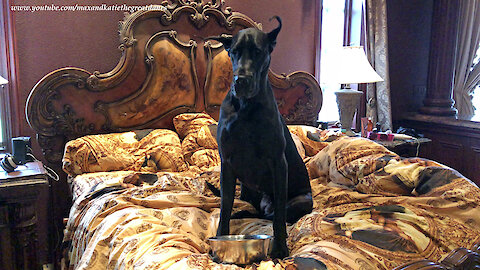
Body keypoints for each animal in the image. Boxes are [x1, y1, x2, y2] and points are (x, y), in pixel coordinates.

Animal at [210, 15, 312, 258]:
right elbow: (225, 205)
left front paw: (280, 248)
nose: (241, 80)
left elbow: (279, 219)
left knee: (274, 214)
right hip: (248, 189)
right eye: (234, 52)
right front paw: (221, 237)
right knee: (256, 211)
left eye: (258, 52)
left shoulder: (278, 164)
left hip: (302, 200)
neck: (246, 107)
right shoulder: (227, 164)